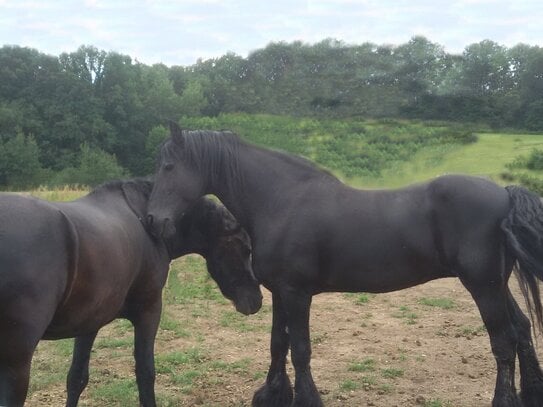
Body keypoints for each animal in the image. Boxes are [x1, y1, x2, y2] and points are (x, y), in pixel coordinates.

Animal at [0, 179, 264, 407]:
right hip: (17, 362)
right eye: (246, 248)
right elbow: (146, 374)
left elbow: (77, 377)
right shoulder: (149, 312)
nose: (257, 301)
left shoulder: (89, 323)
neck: (148, 225)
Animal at [149, 124, 543, 407]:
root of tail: (504, 193)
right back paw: (529, 395)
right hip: (495, 284)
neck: (281, 202)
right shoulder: (279, 292)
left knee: (504, 341)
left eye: (169, 167)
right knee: (522, 329)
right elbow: (278, 342)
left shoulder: (297, 293)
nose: (153, 220)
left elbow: (301, 349)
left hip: (483, 286)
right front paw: (271, 395)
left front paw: (306, 400)